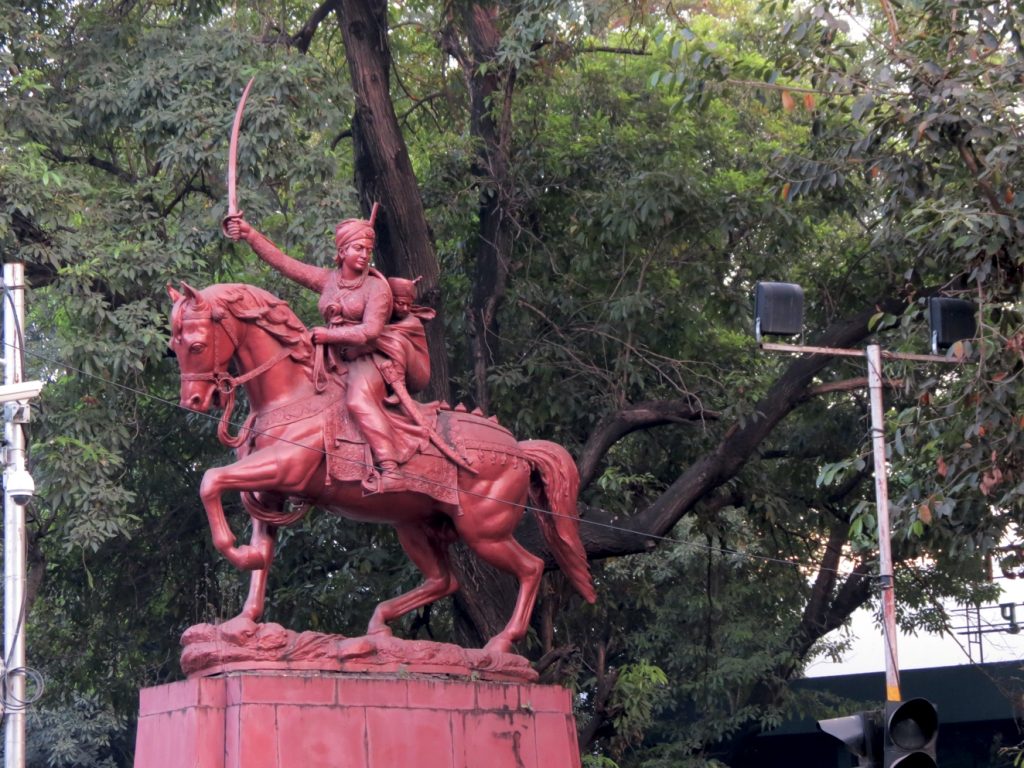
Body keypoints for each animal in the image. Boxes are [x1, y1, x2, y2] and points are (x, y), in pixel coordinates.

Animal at [166, 282, 598, 655]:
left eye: (197, 345)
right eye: (174, 346)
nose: (194, 400)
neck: (294, 392)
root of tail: (520, 449)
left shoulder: (284, 469)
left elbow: (210, 481)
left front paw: (236, 553)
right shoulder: (270, 494)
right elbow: (263, 551)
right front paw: (244, 616)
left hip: (483, 532)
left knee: (531, 567)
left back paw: (500, 643)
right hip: (414, 526)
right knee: (445, 579)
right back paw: (378, 626)